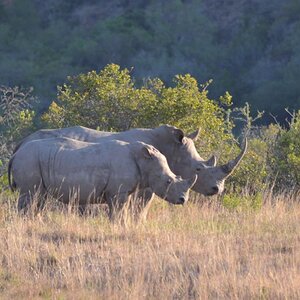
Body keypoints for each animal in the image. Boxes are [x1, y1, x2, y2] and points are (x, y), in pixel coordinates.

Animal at [8, 137, 197, 219]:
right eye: (168, 181)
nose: (183, 200)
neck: (144, 160)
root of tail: (16, 153)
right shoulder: (117, 192)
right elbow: (118, 212)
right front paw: (118, 227)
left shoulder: (124, 191)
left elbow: (122, 211)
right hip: (29, 160)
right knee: (30, 195)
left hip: (34, 160)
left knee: (39, 197)